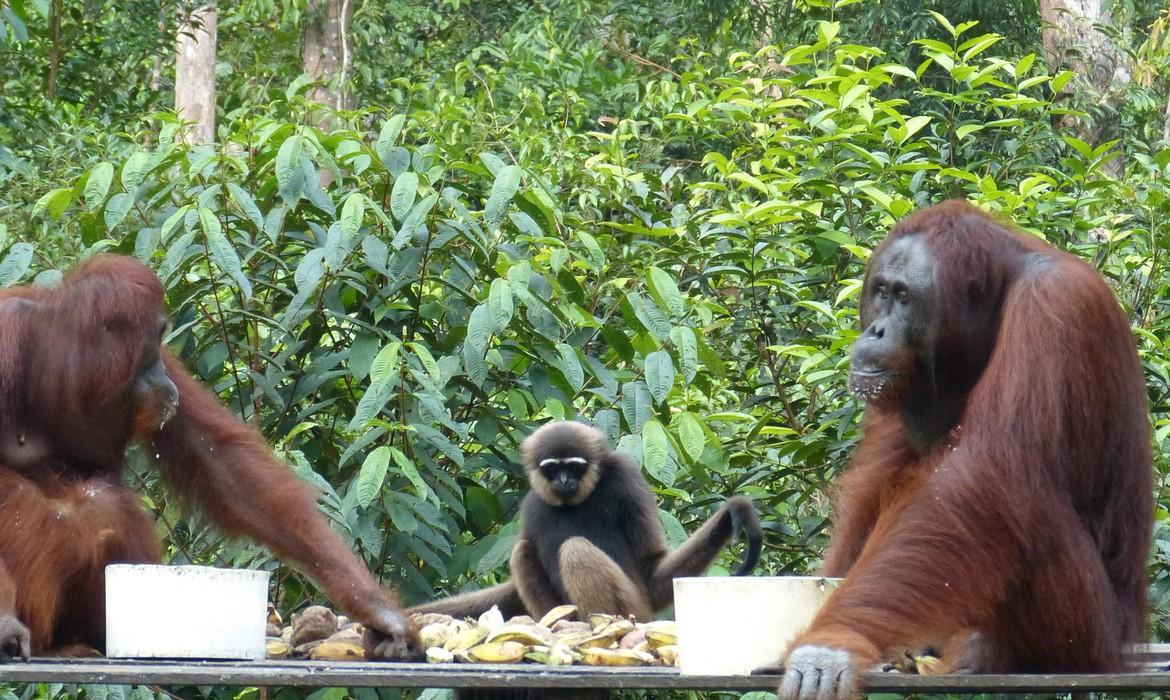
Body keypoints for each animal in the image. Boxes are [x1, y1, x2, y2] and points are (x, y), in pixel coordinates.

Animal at [413, 420, 764, 621]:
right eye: (553, 468)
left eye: (574, 467)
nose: (564, 480)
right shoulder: (532, 506)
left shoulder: (627, 479)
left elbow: (652, 568)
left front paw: (734, 513)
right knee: (523, 551)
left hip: (635, 608)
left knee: (575, 549)